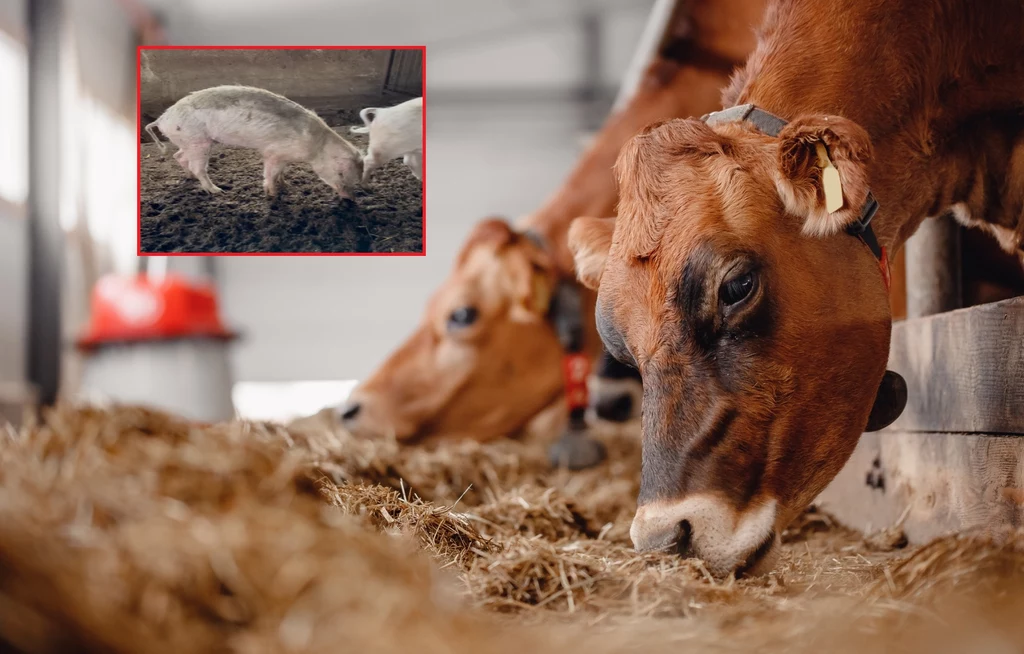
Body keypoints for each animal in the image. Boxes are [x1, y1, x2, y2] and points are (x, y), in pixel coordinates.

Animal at [144, 85, 364, 200]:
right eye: (340, 173)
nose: (350, 198)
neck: (316, 146)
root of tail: (162, 119)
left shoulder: (284, 156)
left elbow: (281, 172)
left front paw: (285, 184)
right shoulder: (273, 153)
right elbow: (270, 172)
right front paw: (272, 194)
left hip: (191, 142)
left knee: (179, 156)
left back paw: (189, 177)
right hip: (198, 141)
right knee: (198, 168)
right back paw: (217, 191)